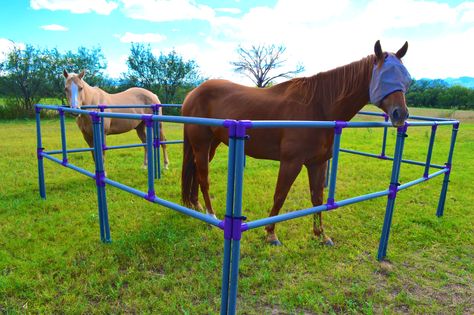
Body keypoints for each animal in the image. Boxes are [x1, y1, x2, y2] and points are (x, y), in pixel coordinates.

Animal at [181, 40, 412, 246]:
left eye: (406, 79)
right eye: (385, 77)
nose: (400, 114)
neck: (318, 107)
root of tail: (192, 93)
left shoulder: (317, 163)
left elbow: (317, 199)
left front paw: (321, 235)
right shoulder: (291, 162)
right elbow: (280, 196)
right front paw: (271, 234)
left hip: (211, 145)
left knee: (195, 172)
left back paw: (195, 205)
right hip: (202, 144)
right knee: (203, 177)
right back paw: (211, 217)